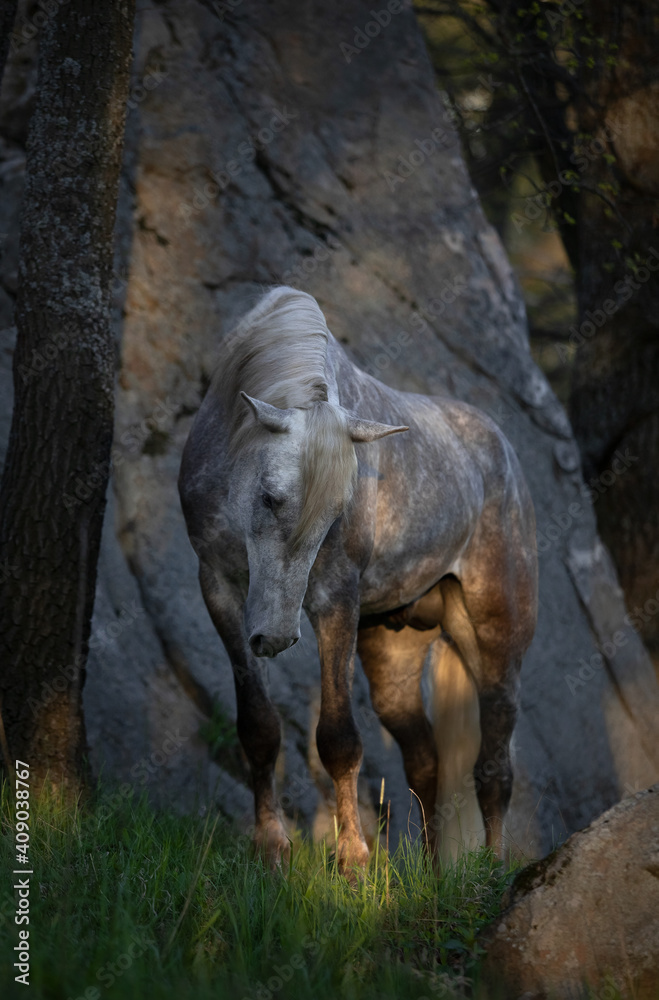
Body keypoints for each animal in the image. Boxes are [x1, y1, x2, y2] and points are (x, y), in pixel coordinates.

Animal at [178, 284, 540, 868]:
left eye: (336, 513)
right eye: (269, 497)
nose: (274, 637)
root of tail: (501, 452)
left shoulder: (334, 600)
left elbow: (339, 739)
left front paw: (353, 860)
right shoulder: (219, 588)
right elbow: (259, 727)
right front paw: (271, 846)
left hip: (496, 640)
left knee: (494, 767)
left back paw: (492, 868)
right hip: (393, 654)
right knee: (425, 760)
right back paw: (432, 873)